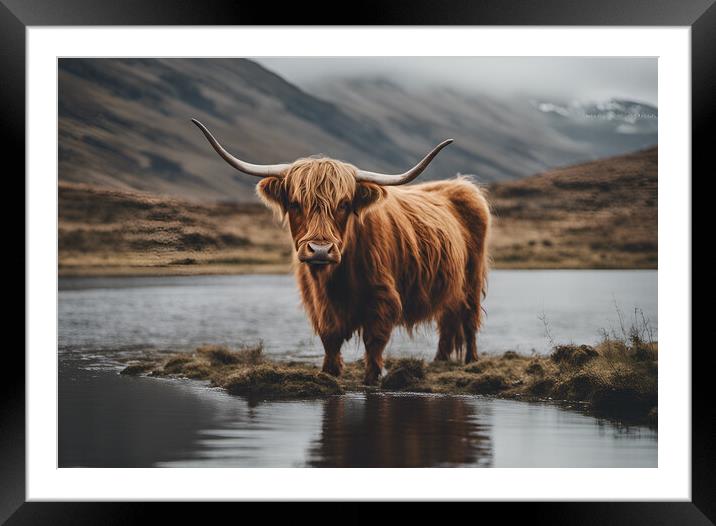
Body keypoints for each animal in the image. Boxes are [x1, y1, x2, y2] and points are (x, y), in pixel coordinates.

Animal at [193, 119, 490, 386]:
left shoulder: (383, 300)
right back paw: (440, 361)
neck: (336, 279)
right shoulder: (318, 303)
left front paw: (371, 379)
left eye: (344, 204)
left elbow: (374, 343)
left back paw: (471, 362)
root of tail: (460, 185)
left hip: (471, 280)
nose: (320, 250)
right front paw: (329, 373)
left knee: (468, 319)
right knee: (447, 321)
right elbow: (330, 339)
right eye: (295, 203)